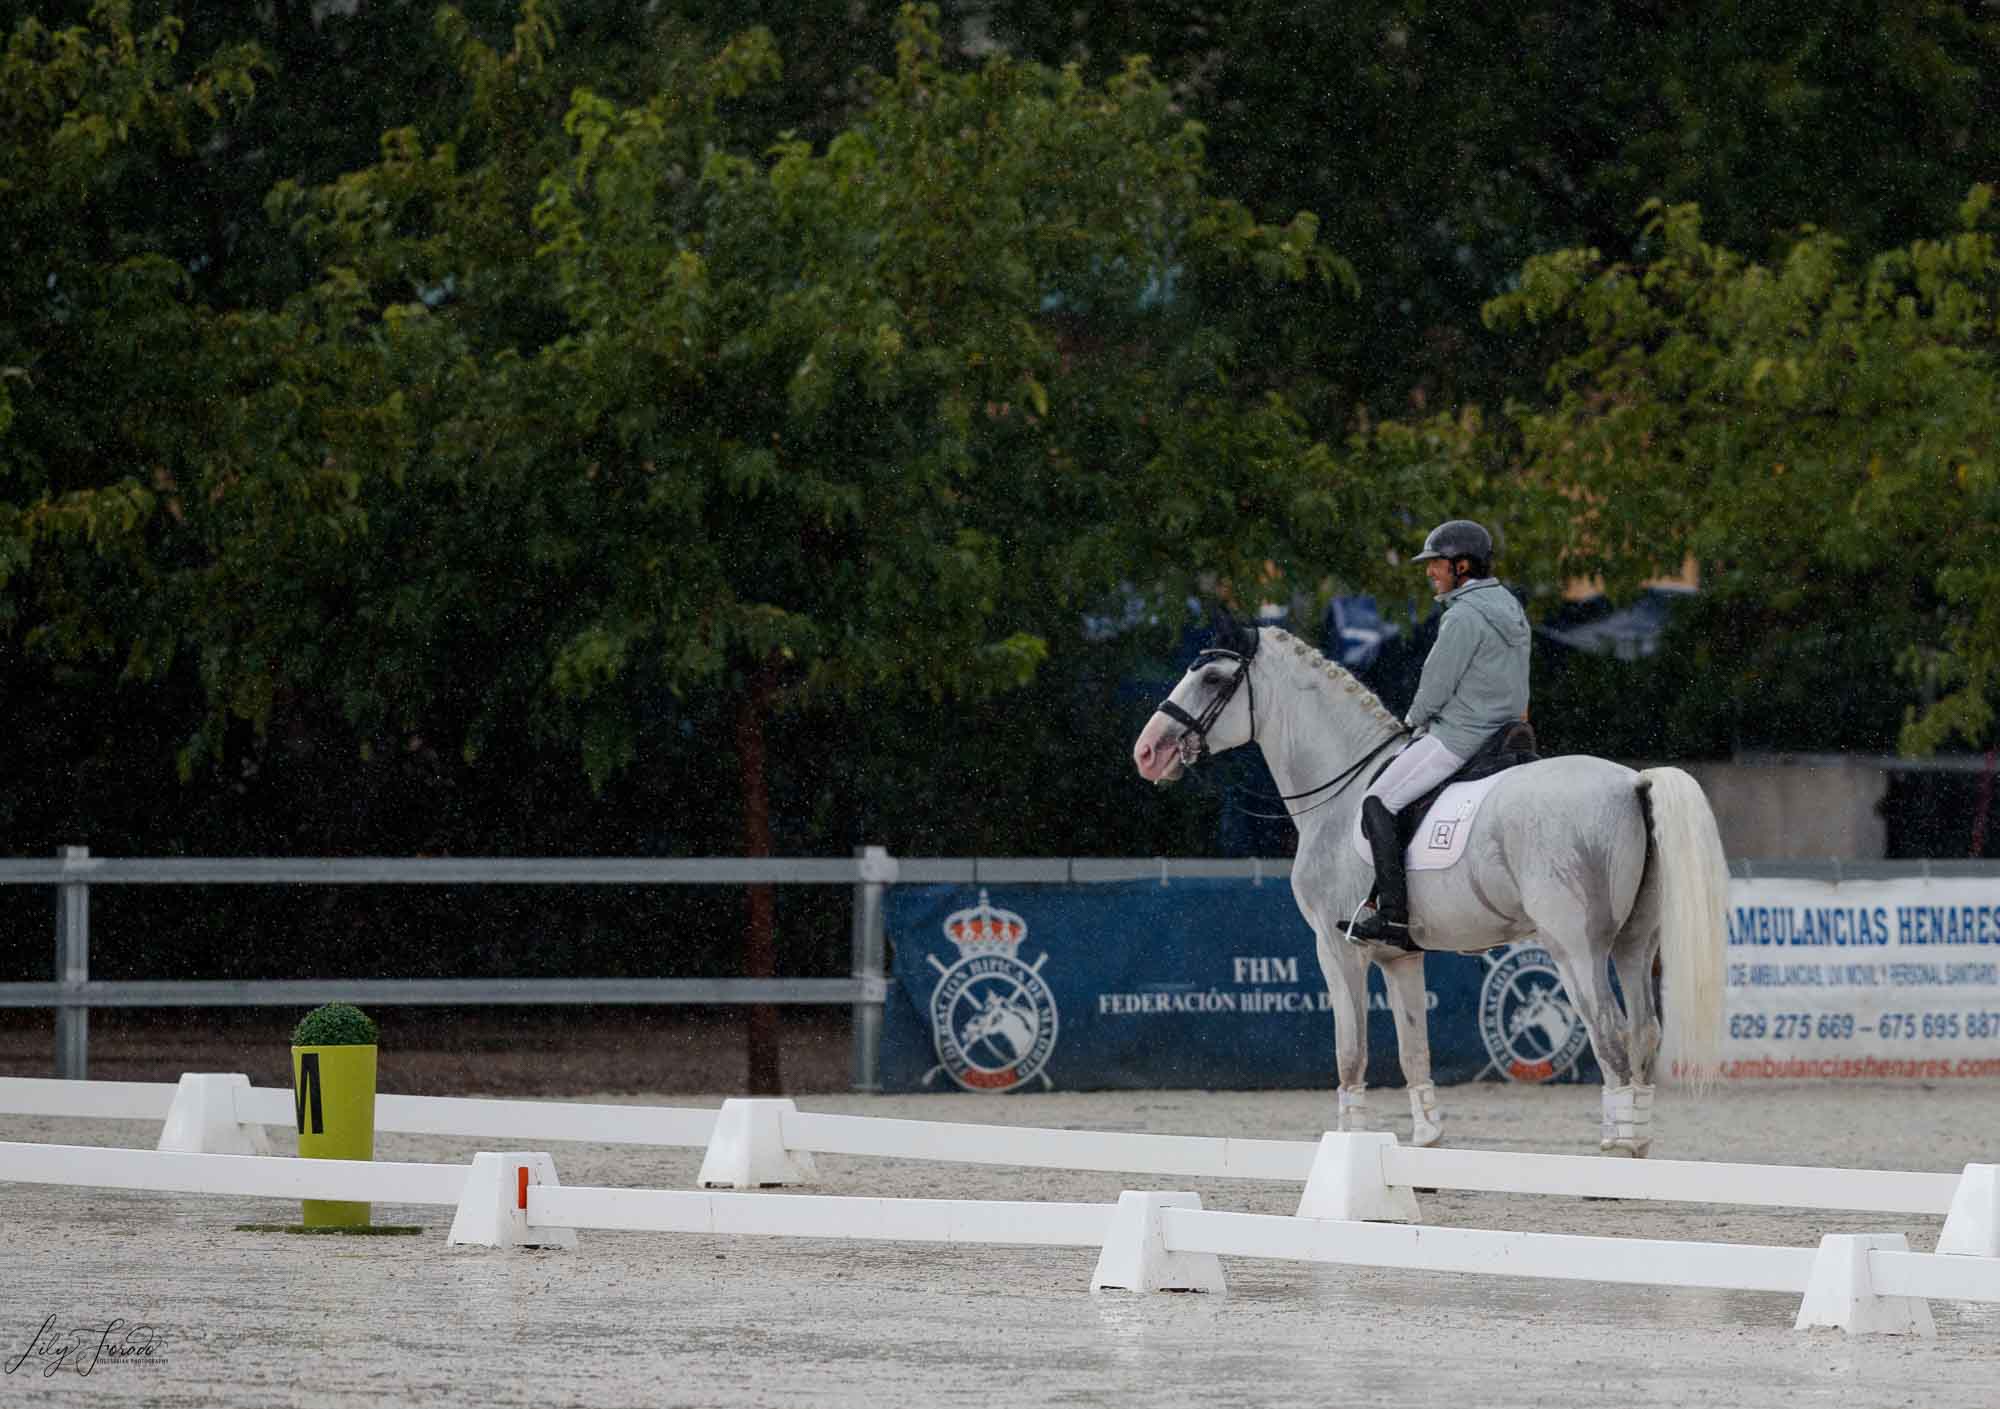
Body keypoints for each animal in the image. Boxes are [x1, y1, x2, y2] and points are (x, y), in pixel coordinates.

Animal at [1136, 616, 1728, 1152]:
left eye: (1213, 678)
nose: (1148, 753)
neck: (1341, 793)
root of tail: (1634, 782)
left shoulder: (1336, 948)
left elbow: (1351, 1052)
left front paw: (1349, 1142)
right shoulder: (1399, 955)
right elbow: (1412, 1049)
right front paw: (1426, 1137)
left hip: (1576, 947)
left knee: (1609, 1033)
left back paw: (1618, 1147)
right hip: (1633, 943)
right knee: (1644, 1031)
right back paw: (1638, 1141)